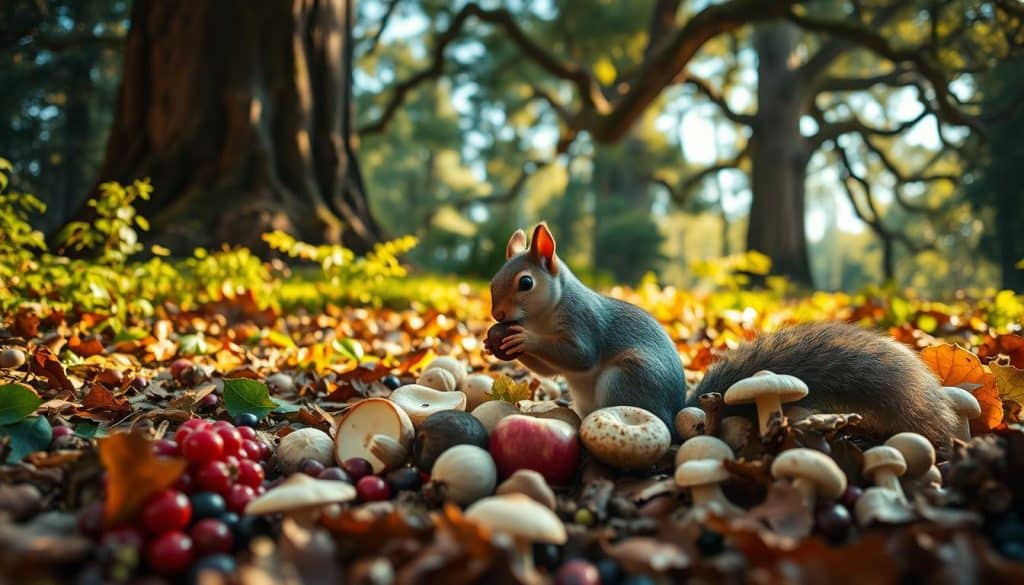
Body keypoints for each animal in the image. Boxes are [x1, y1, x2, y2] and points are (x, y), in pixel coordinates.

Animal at [487, 224, 959, 447]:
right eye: (493, 281)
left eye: (525, 283)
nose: (497, 314)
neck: (545, 313)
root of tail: (675, 412)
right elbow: (548, 368)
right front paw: (502, 343)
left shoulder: (584, 324)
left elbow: (578, 356)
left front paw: (523, 341)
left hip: (625, 381)